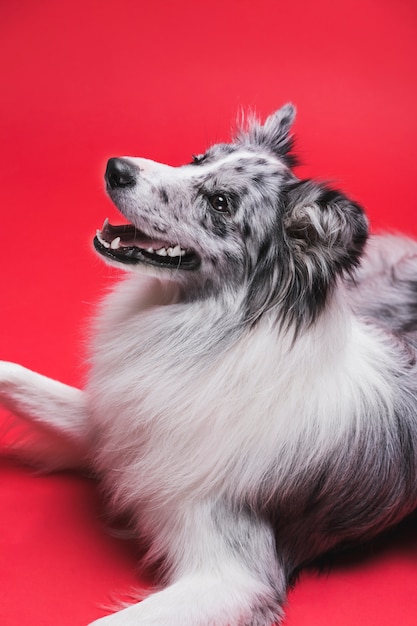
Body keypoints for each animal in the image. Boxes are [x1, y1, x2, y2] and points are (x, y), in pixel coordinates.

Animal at [0, 105, 416, 620]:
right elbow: (16, 375)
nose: (116, 167)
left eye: (220, 203)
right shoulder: (121, 431)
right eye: (198, 158)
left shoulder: (233, 577)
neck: (208, 330)